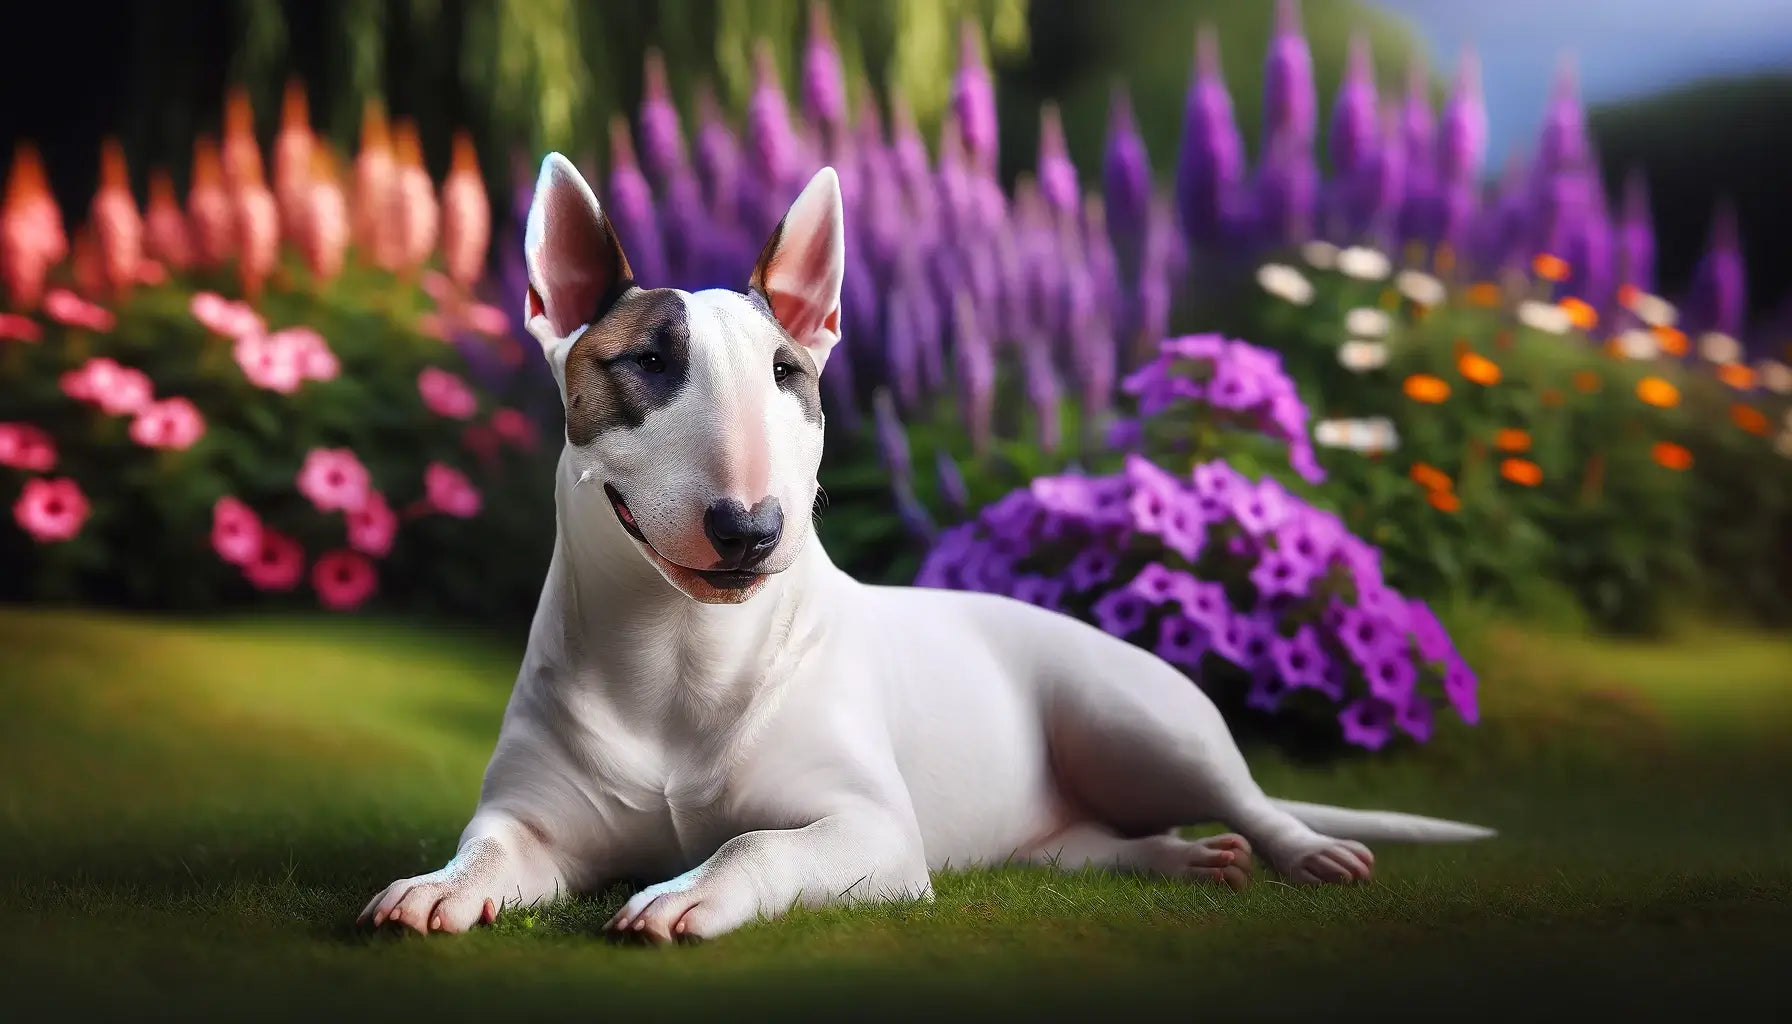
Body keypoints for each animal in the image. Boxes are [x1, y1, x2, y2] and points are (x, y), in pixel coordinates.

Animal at [356, 152, 1490, 946]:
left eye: (786, 372)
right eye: (644, 362)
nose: (749, 529)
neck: (679, 653)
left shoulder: (873, 833)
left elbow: (759, 839)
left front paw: (683, 895)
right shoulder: (535, 819)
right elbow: (491, 847)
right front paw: (438, 888)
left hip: (1133, 718)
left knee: (1248, 798)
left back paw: (1304, 852)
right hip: (1057, 821)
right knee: (1091, 846)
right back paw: (1180, 862)